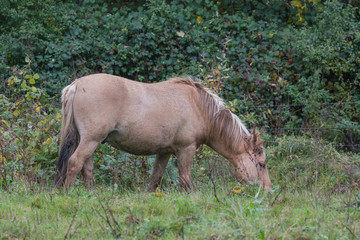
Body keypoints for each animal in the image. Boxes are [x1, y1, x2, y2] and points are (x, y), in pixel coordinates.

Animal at [54, 73, 272, 191]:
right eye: (261, 164)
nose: (269, 191)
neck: (198, 106)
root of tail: (75, 85)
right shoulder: (186, 149)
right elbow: (185, 180)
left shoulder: (164, 152)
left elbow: (155, 179)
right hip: (90, 140)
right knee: (74, 163)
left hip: (90, 141)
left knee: (87, 169)